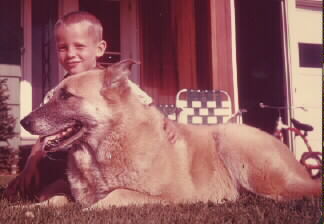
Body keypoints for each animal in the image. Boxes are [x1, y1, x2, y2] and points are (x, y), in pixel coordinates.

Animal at [20, 59, 322, 208]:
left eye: (66, 96)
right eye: (52, 96)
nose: (23, 122)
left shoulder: (169, 197)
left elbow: (110, 198)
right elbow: (54, 200)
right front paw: (27, 209)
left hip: (236, 146)